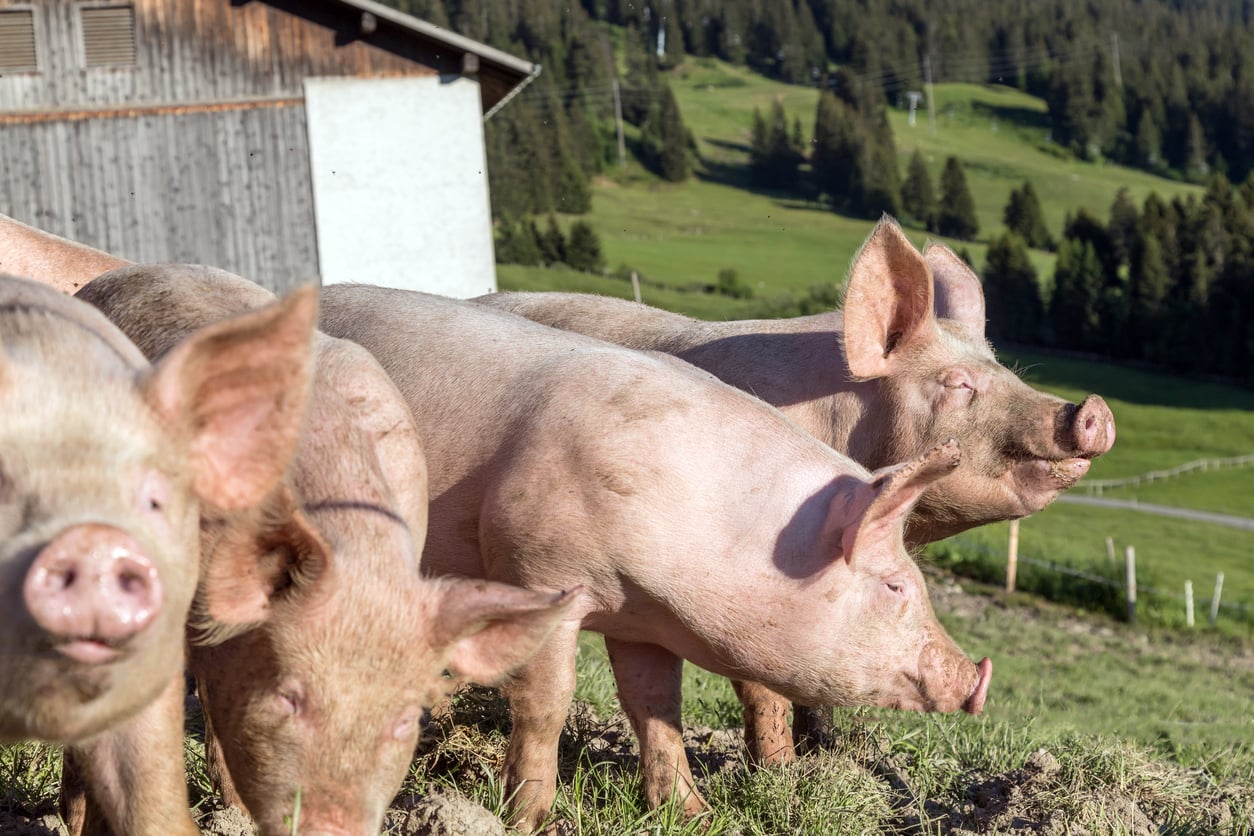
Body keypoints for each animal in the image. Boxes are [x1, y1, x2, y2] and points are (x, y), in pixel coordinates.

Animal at [317, 284, 993, 832]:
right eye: (897, 586)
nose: (975, 678)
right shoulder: (535, 568)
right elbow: (547, 701)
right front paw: (530, 821)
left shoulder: (641, 621)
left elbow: (656, 710)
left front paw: (695, 815)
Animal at [475, 216, 1115, 763]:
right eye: (958, 384)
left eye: (1009, 372)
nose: (1091, 409)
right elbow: (763, 683)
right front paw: (780, 772)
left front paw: (825, 756)